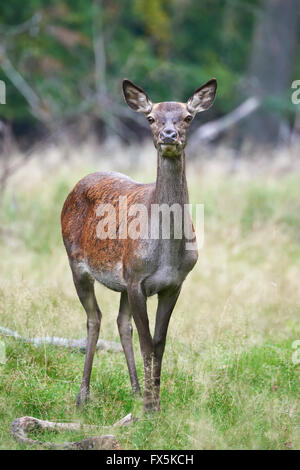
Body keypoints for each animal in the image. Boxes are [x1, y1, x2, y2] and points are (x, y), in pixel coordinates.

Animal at [61, 78, 217, 412]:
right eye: (151, 118)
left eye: (188, 117)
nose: (169, 135)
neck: (167, 253)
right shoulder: (137, 280)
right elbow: (147, 343)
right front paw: (149, 407)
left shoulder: (173, 283)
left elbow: (159, 343)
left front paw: (154, 401)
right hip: (77, 262)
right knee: (94, 319)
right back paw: (83, 395)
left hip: (122, 280)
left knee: (122, 323)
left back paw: (133, 390)